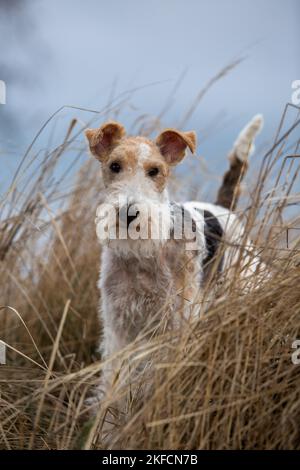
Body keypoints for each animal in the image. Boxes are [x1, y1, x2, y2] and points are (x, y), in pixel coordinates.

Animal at [85, 114, 264, 434]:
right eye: (114, 166)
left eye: (155, 171)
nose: (129, 214)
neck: (142, 255)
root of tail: (221, 206)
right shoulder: (119, 326)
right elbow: (113, 385)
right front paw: (107, 430)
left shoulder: (175, 325)